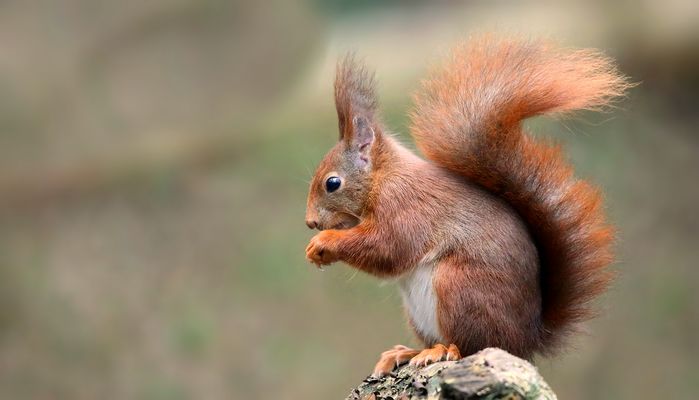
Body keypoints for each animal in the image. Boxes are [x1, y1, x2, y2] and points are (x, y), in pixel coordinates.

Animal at [304, 35, 630, 377]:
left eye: (332, 183)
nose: (310, 222)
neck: (383, 177)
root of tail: (526, 340)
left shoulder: (407, 207)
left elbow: (388, 247)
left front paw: (324, 243)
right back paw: (408, 352)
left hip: (459, 288)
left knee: (472, 344)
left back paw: (445, 350)